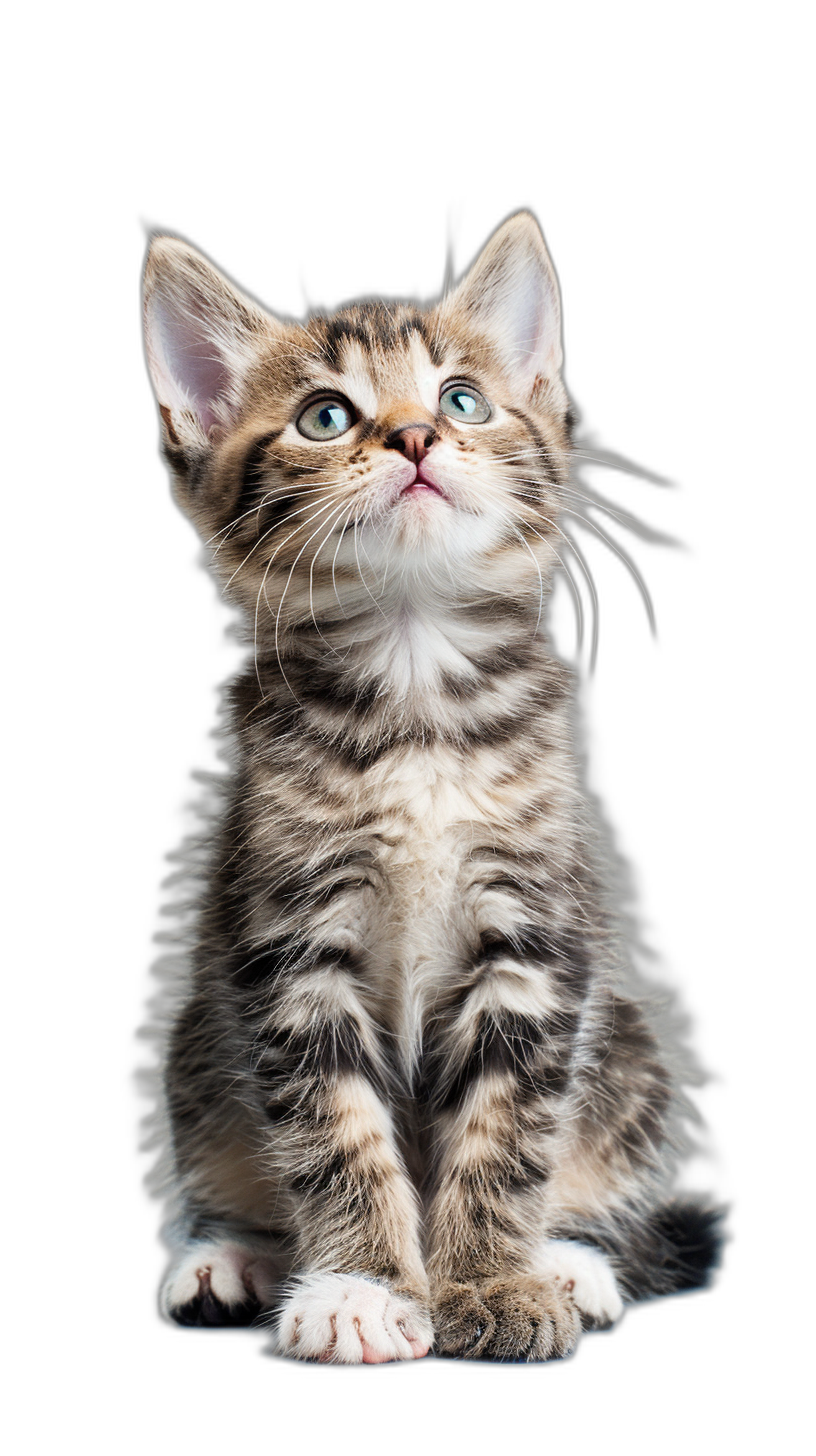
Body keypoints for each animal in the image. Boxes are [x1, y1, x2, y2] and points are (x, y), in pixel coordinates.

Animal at [138, 215, 719, 1362]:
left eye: (461, 398)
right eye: (325, 416)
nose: (414, 437)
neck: (414, 700)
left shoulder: (537, 937)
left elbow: (507, 1129)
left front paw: (491, 1283)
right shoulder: (288, 941)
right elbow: (332, 1129)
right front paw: (363, 1290)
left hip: (631, 1045)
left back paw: (572, 1261)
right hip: (195, 1043)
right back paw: (232, 1257)